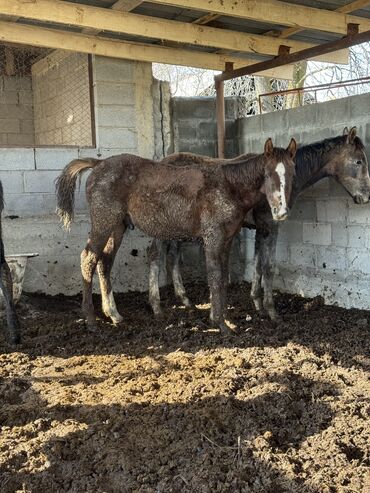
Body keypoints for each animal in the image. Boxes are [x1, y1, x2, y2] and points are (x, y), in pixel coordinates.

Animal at [147, 127, 370, 320]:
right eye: (359, 161)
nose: (366, 197)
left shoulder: (260, 229)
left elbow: (257, 264)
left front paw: (257, 304)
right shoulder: (270, 226)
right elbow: (268, 266)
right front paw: (271, 311)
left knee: (173, 257)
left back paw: (185, 300)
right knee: (156, 255)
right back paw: (157, 307)